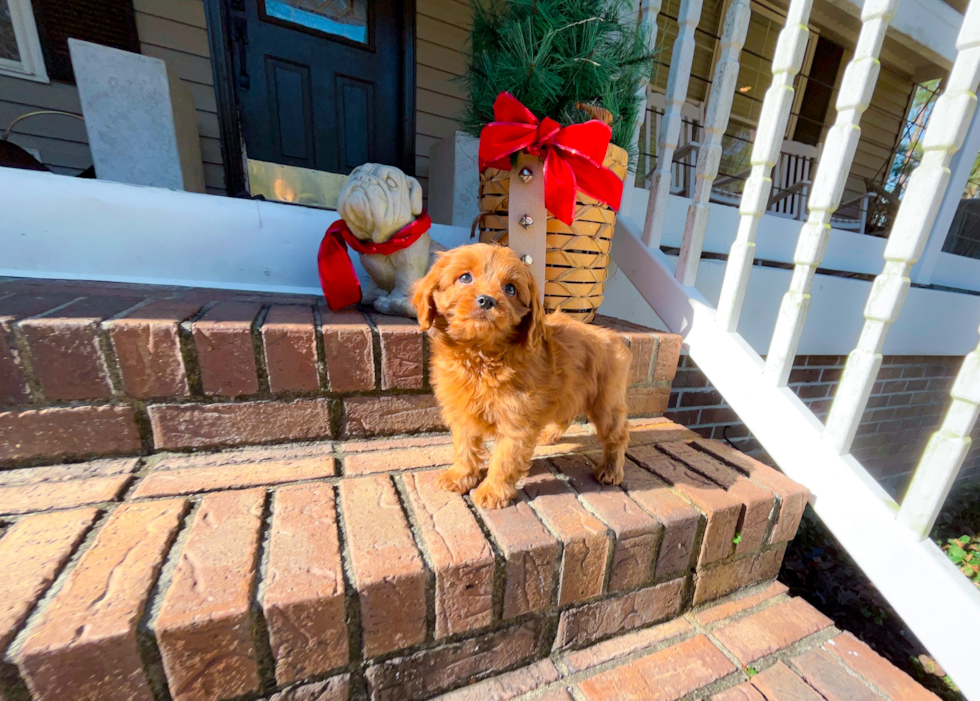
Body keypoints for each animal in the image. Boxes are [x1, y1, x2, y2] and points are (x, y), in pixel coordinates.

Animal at [410, 243, 632, 506]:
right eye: (464, 277)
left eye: (510, 289)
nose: (486, 300)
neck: (481, 356)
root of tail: (614, 336)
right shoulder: (462, 412)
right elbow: (464, 447)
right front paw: (460, 476)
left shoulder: (516, 420)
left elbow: (505, 459)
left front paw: (493, 491)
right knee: (565, 416)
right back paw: (548, 435)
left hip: (606, 403)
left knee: (618, 435)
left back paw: (610, 470)